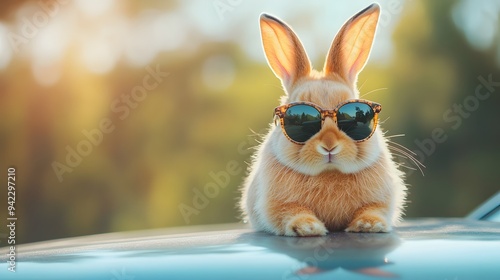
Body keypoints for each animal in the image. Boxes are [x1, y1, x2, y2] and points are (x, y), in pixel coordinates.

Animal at [240, 3, 408, 236]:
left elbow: (373, 210)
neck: (329, 172)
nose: (329, 145)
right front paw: (308, 227)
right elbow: (291, 213)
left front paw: (369, 225)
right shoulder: (276, 205)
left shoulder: (381, 200)